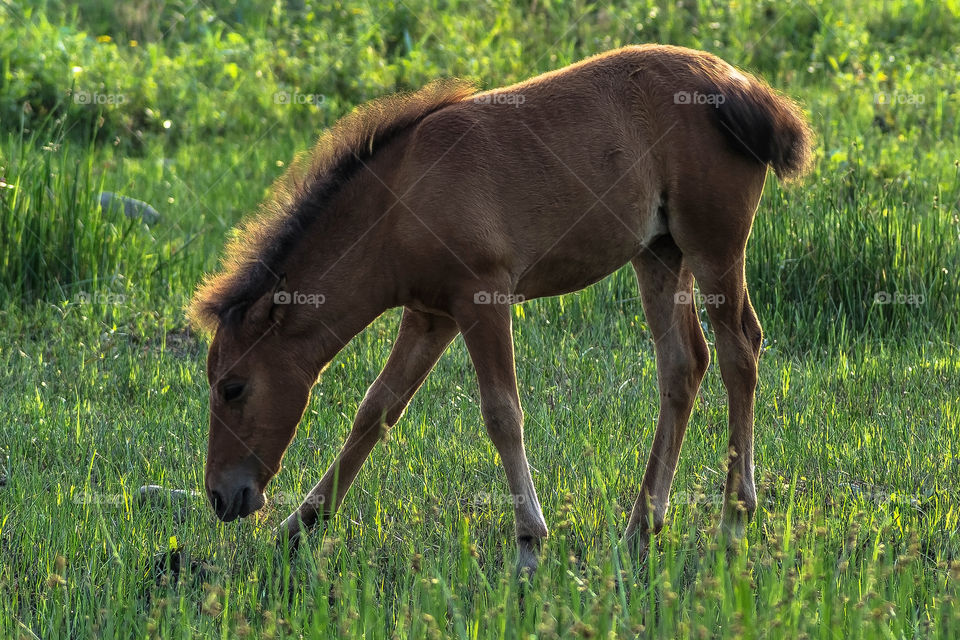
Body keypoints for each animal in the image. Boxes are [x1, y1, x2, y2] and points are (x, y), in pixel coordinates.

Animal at [189, 44, 813, 574]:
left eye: (233, 388)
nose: (222, 496)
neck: (399, 200)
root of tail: (743, 88)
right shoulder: (430, 316)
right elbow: (376, 409)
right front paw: (299, 525)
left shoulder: (481, 299)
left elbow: (502, 415)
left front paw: (530, 544)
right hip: (658, 255)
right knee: (684, 366)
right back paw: (640, 528)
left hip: (713, 248)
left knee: (740, 350)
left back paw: (734, 520)